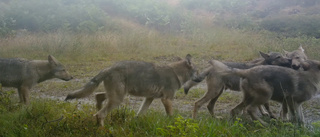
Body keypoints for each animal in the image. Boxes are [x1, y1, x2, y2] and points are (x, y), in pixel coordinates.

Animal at [65, 53, 198, 126]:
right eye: (198, 71)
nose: (201, 78)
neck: (177, 73)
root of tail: (109, 68)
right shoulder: (167, 100)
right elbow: (170, 116)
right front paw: (172, 125)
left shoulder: (149, 98)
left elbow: (140, 114)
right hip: (118, 99)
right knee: (100, 114)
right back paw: (102, 129)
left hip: (116, 96)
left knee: (98, 97)